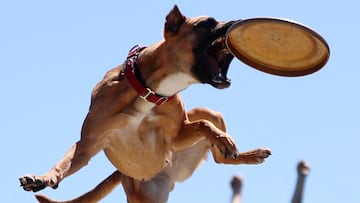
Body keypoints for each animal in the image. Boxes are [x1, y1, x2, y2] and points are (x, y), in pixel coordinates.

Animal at [19, 5, 270, 202]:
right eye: (206, 23)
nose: (237, 23)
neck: (148, 90)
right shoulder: (88, 144)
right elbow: (64, 164)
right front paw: (43, 178)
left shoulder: (175, 139)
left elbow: (202, 125)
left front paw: (223, 139)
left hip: (208, 115)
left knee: (218, 152)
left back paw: (246, 152)